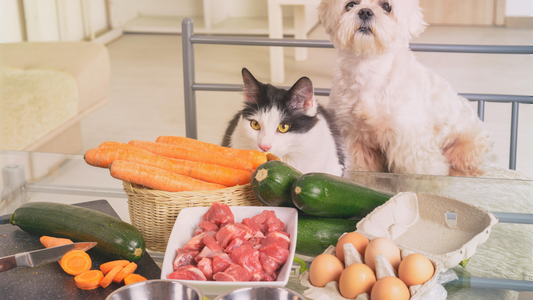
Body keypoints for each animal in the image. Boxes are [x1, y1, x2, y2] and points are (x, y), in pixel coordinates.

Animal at [318, 0, 492, 176]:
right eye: (351, 5)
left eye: (386, 6)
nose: (365, 11)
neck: (369, 71)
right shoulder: (353, 138)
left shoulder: (410, 142)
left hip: (466, 150)